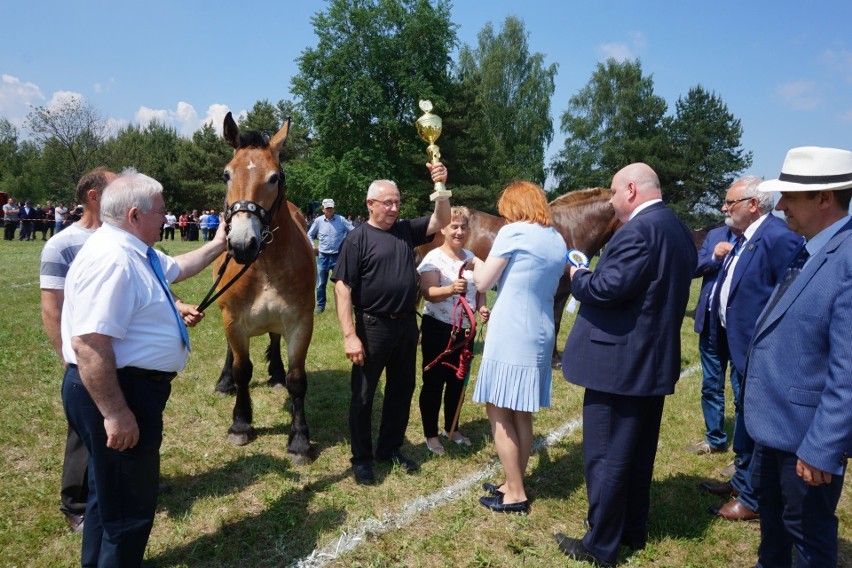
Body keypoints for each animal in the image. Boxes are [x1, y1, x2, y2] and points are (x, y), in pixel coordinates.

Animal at [212, 113, 316, 464]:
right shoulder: (233, 320)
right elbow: (242, 369)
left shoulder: (300, 322)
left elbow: (298, 379)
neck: (264, 264)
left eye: (274, 177)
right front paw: (240, 423)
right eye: (227, 174)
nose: (242, 244)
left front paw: (299, 439)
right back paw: (224, 381)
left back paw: (276, 374)